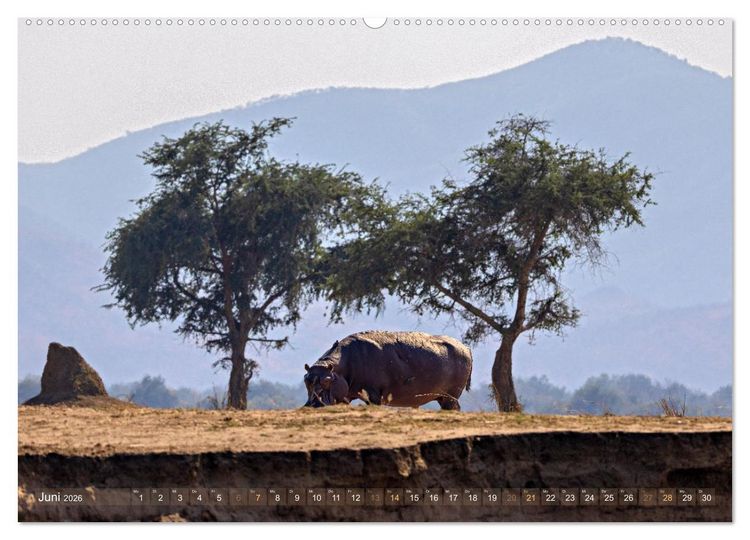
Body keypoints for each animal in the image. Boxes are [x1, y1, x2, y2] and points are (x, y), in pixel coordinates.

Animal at [303, 330, 472, 410]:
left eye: (327, 380)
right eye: (306, 380)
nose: (313, 404)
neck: (338, 366)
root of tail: (465, 347)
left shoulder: (373, 393)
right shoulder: (346, 395)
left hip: (451, 396)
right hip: (444, 397)